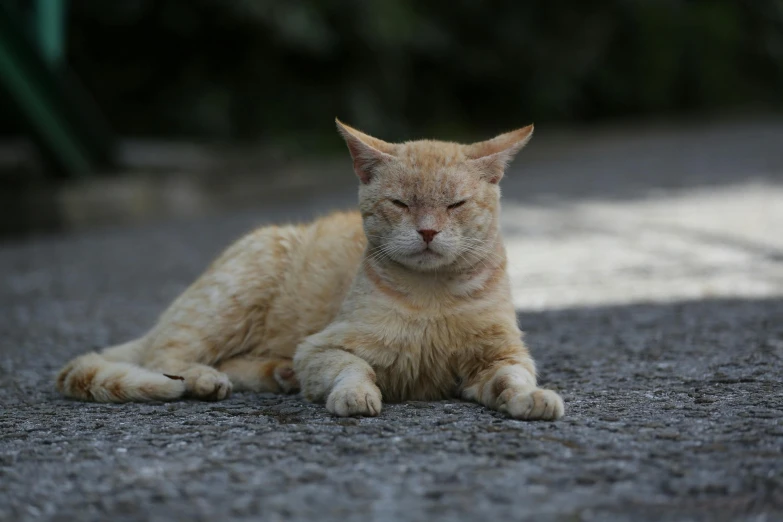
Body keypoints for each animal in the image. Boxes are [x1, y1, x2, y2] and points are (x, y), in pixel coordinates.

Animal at [58, 119, 568, 418]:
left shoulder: (500, 357)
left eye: (454, 205)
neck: (433, 297)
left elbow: (512, 379)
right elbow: (352, 368)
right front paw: (354, 394)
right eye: (401, 203)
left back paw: (276, 375)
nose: (427, 231)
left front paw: (530, 398)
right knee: (164, 357)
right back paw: (204, 380)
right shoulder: (322, 347)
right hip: (231, 299)